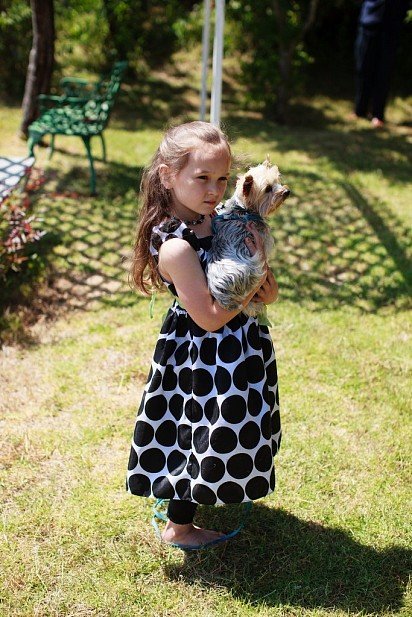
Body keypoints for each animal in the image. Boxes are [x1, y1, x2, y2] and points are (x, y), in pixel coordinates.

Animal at [206, 158, 290, 318]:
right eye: (268, 189)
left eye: (278, 181)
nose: (287, 191)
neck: (243, 209)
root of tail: (224, 298)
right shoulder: (264, 241)